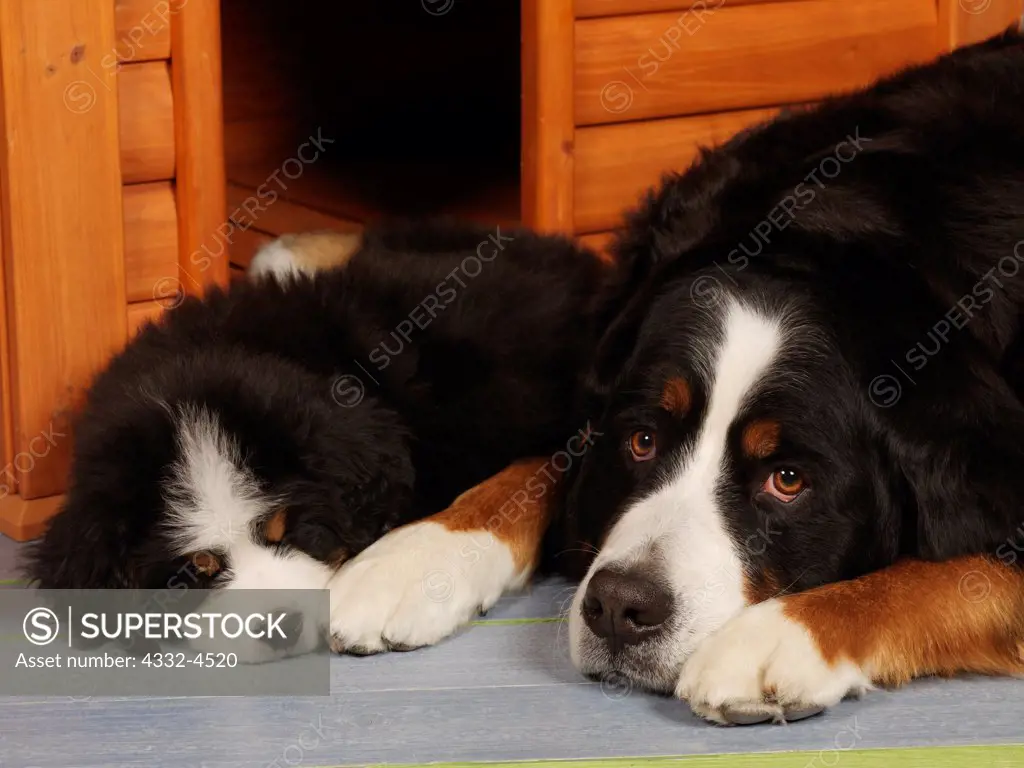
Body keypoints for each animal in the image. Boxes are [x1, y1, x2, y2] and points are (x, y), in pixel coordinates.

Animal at [22, 31, 1024, 729]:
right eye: (642, 440)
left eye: (788, 479)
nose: (622, 608)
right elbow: (535, 462)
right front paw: (414, 559)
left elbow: (949, 575)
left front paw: (781, 636)